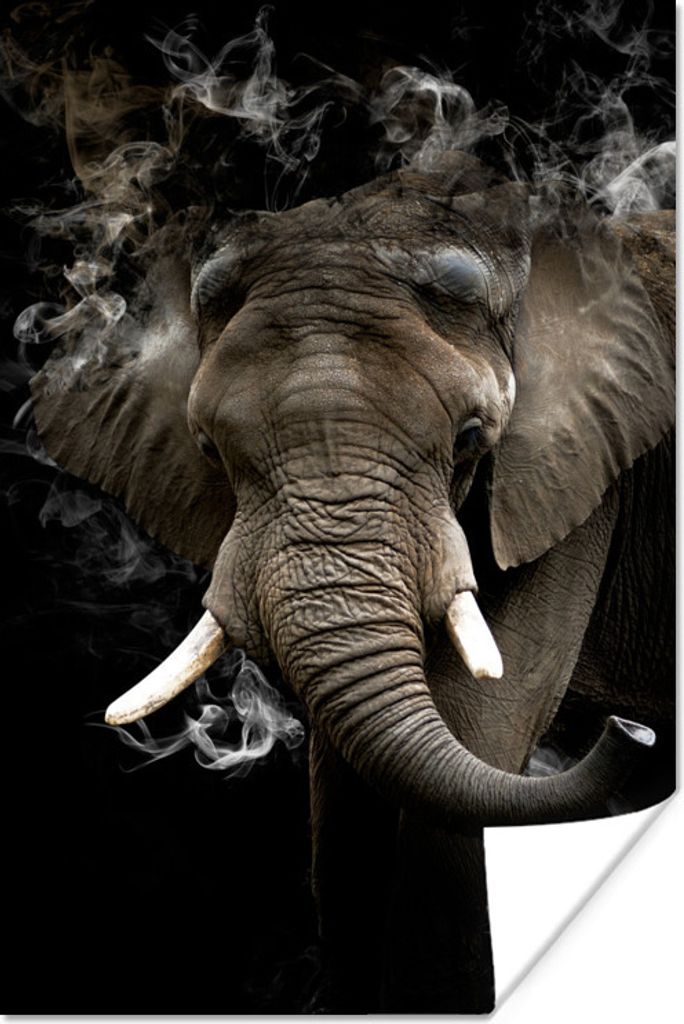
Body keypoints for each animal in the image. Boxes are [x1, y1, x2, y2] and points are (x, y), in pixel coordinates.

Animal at [28, 151, 674, 1013]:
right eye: (208, 449)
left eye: (473, 438)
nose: (632, 734)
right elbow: (346, 797)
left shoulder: (575, 477)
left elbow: (476, 733)